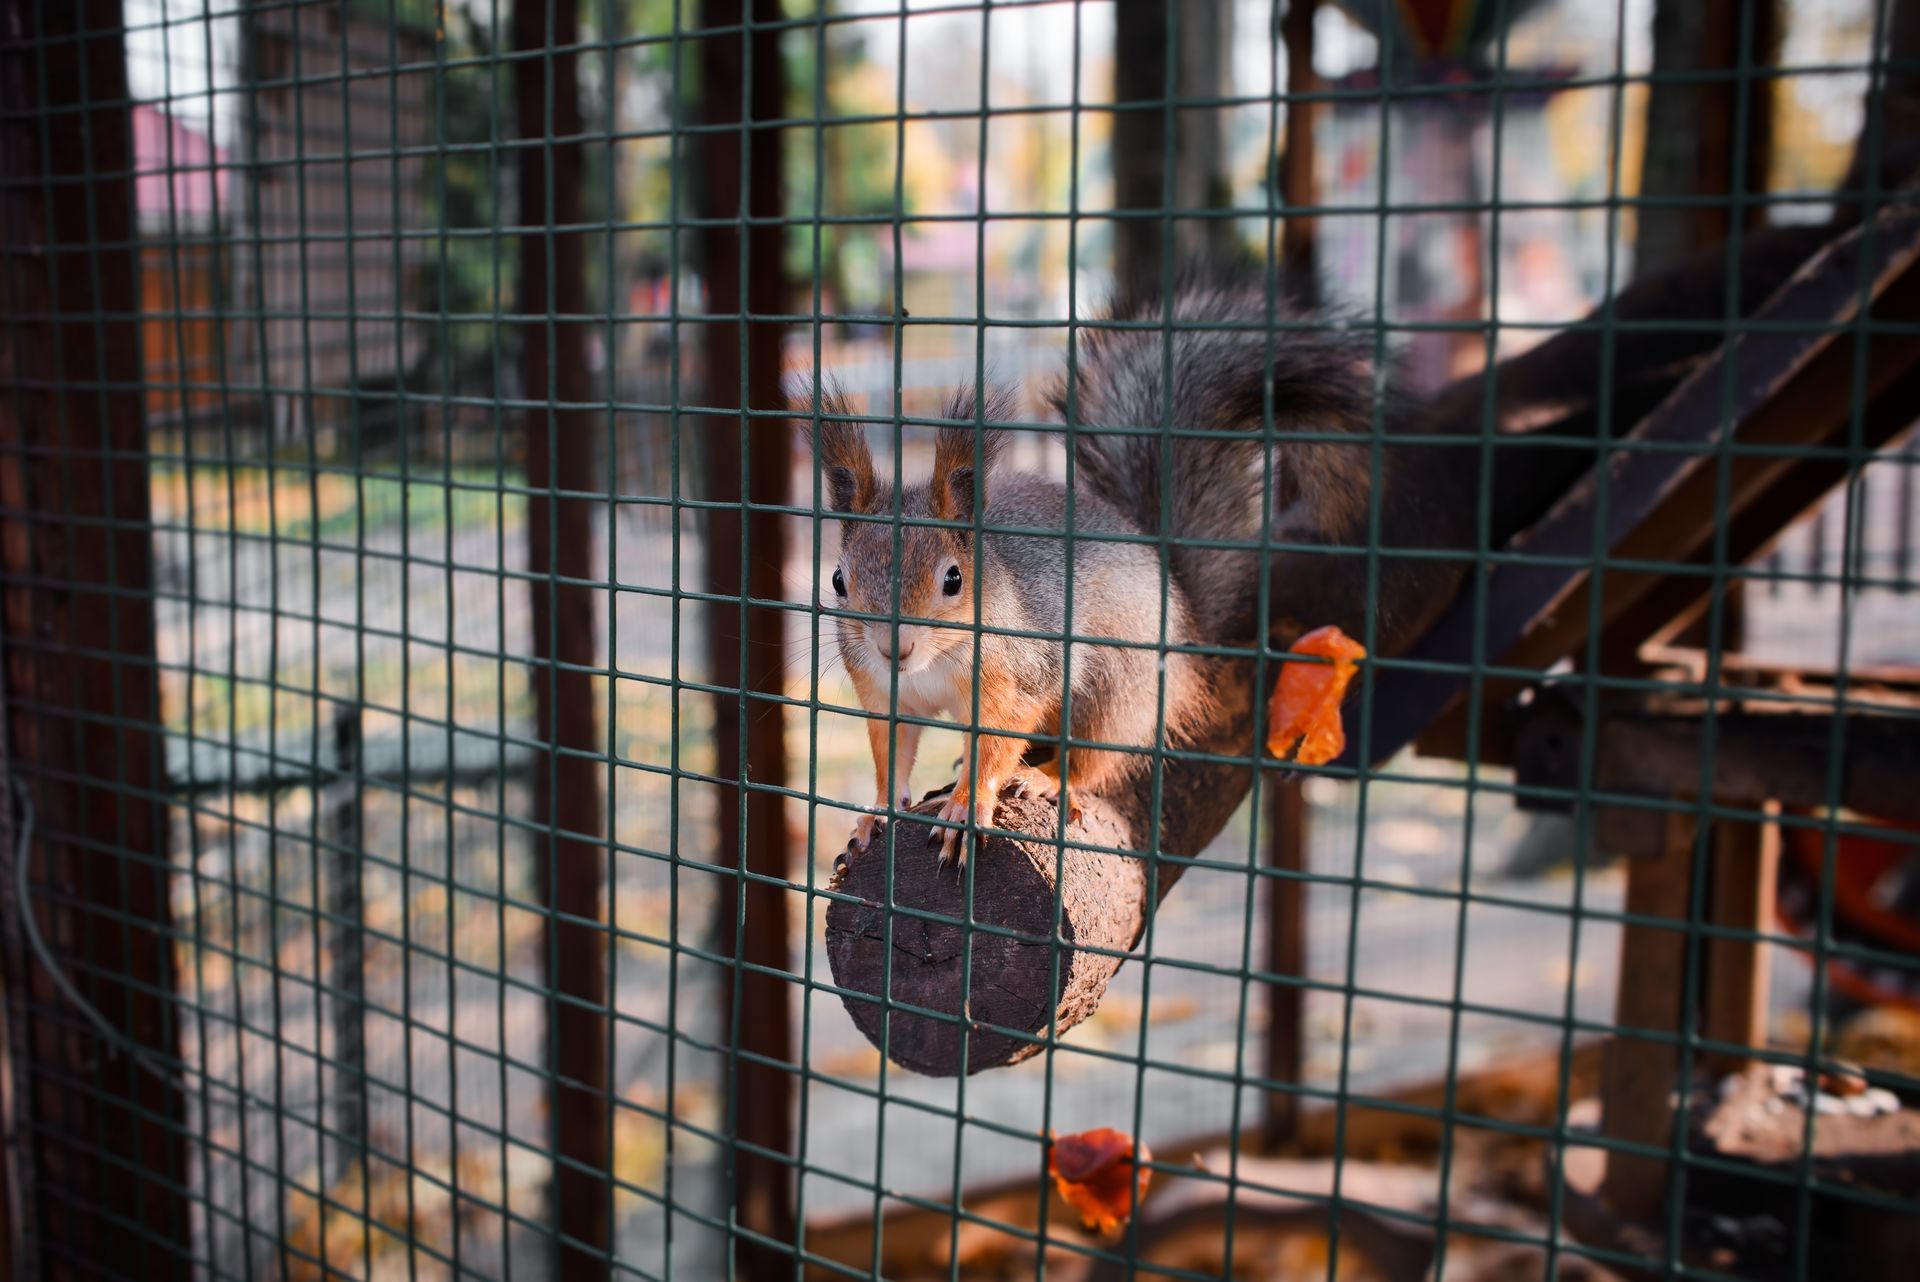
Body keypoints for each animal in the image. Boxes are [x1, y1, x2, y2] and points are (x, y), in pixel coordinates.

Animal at [804, 282, 1379, 866]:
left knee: (1093, 758)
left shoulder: (1019, 675)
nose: (893, 649)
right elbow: (890, 754)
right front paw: (876, 812)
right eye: (838, 581)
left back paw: (1048, 778)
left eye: (953, 579)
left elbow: (998, 740)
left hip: (1114, 687)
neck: (932, 665)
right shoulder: (883, 692)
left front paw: (968, 806)